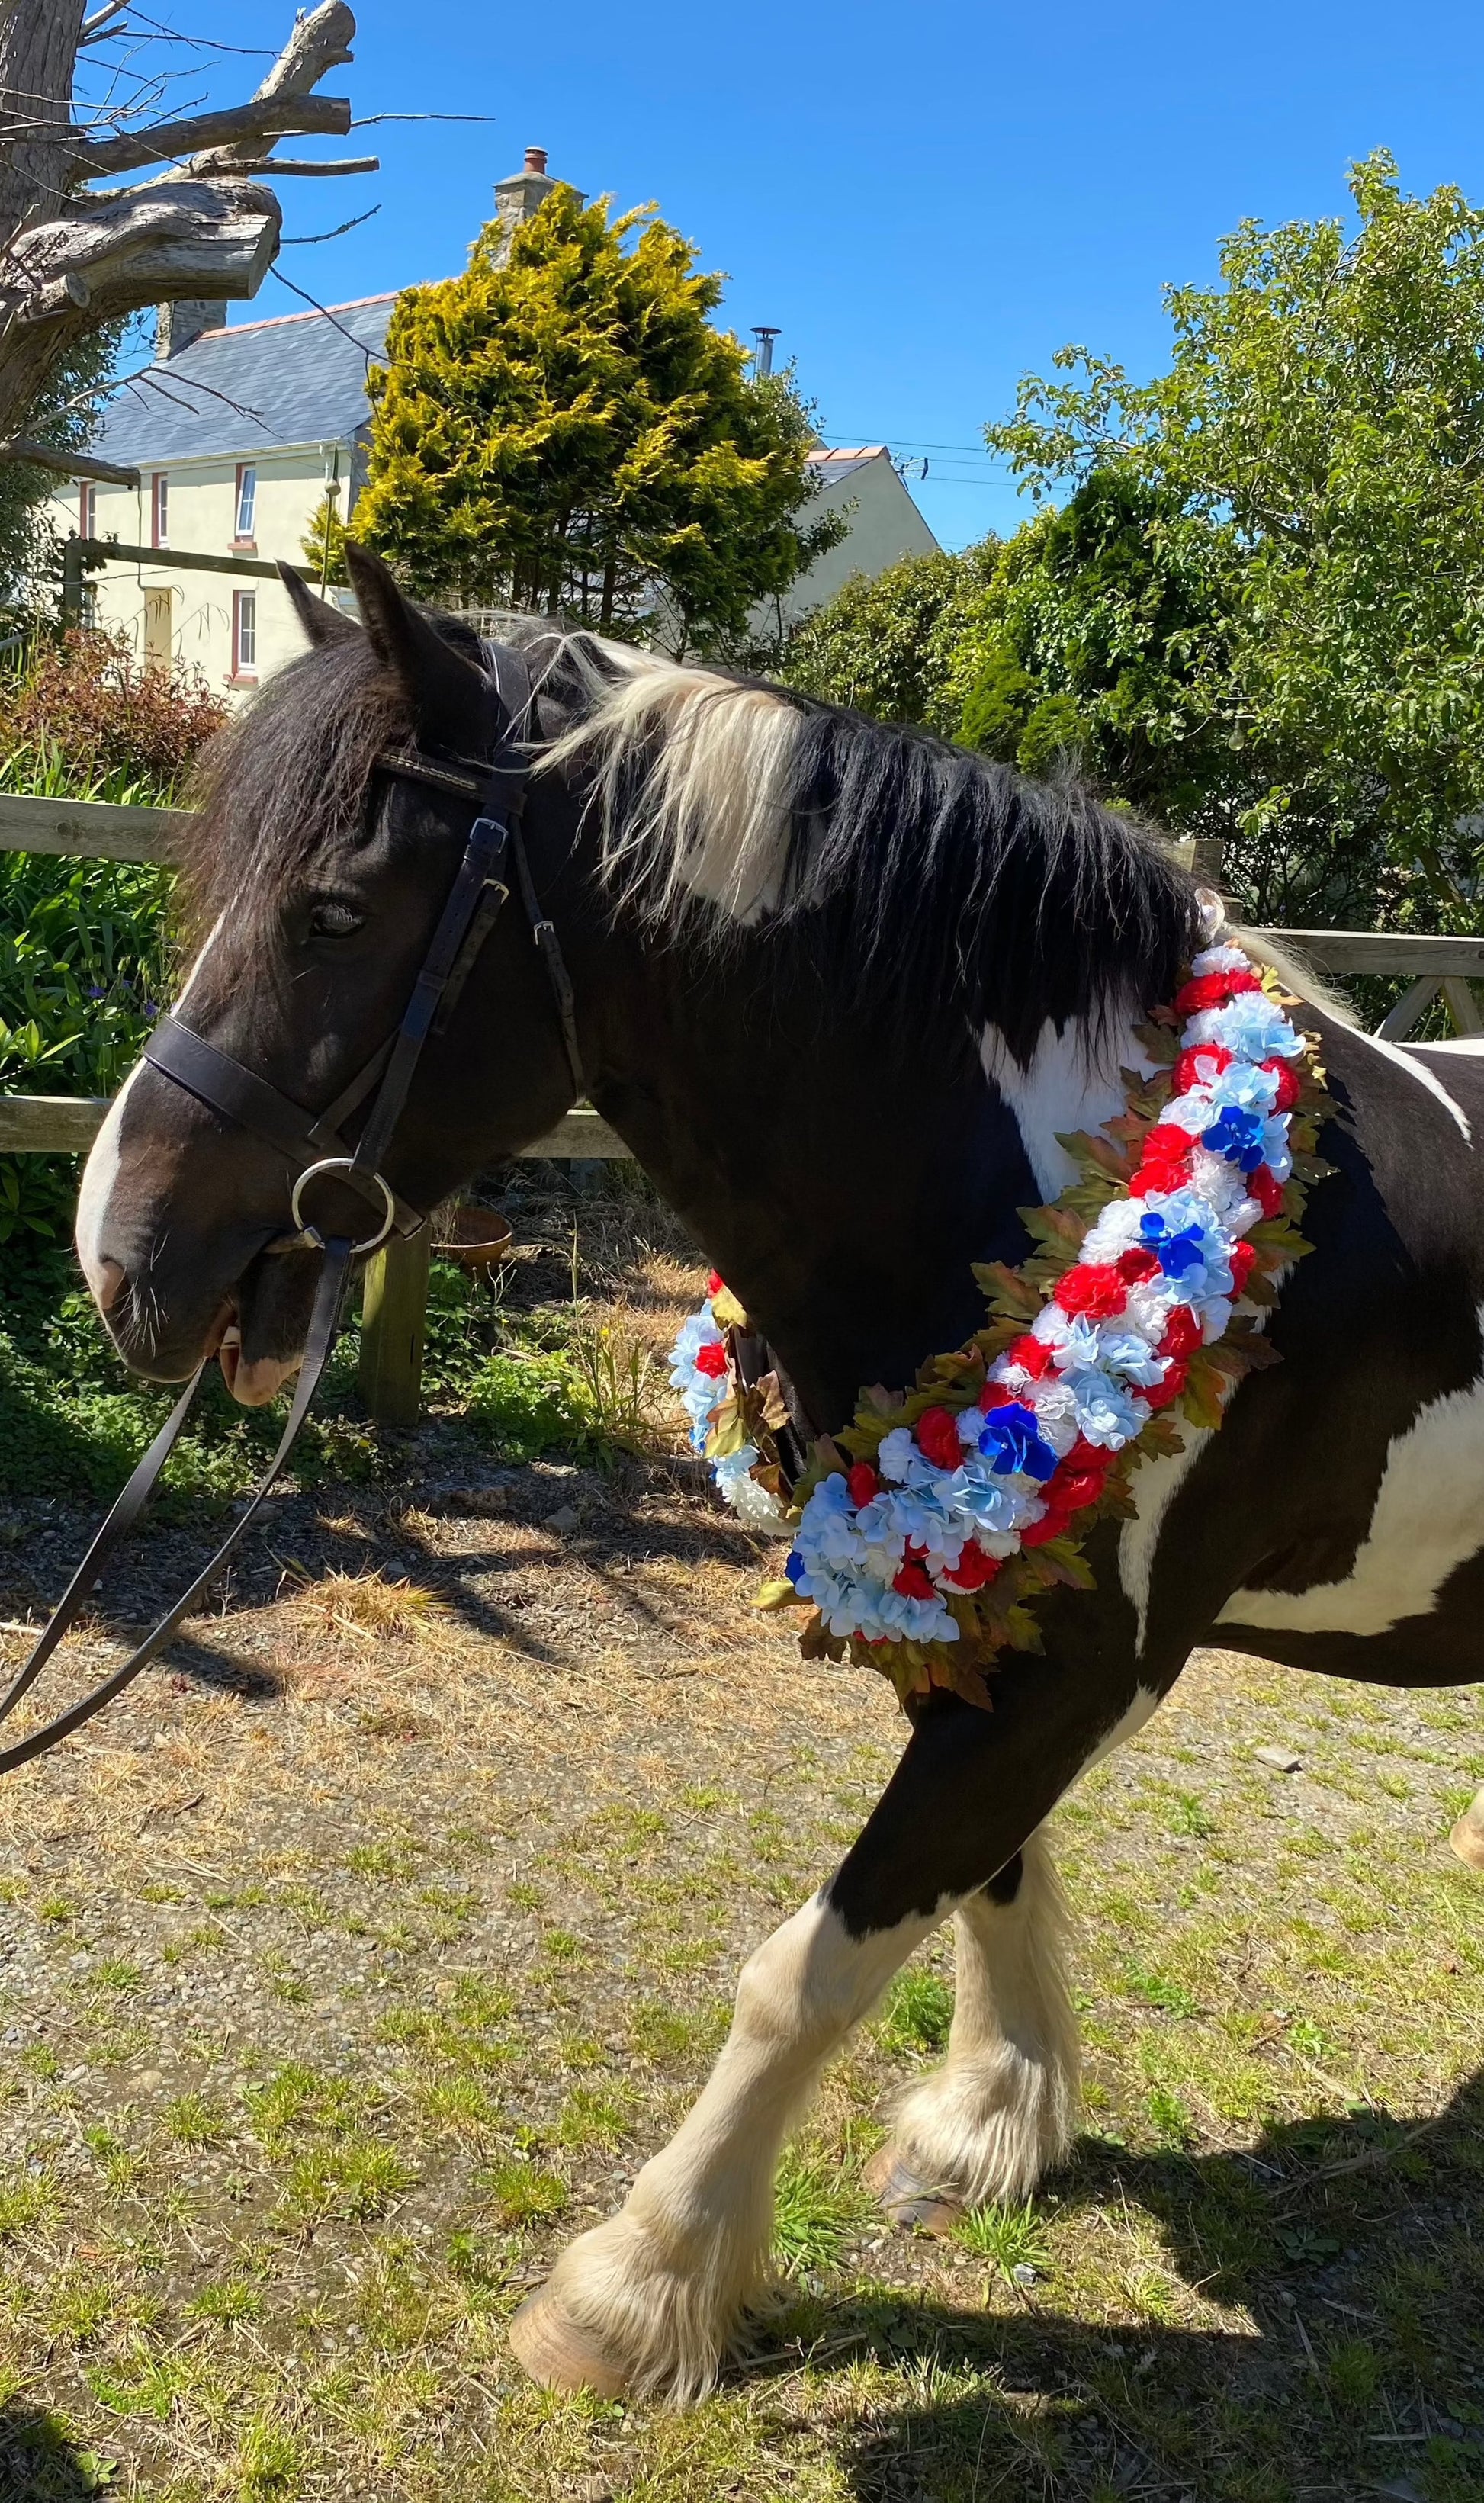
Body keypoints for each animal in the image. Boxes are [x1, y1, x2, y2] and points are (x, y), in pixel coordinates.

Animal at [72, 548, 1481, 2402]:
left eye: (332, 912)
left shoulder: (1081, 1672)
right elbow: (984, 1885)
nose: (116, 1254)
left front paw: (639, 2286)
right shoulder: (984, 1628)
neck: (1039, 1181)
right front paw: (991, 2125)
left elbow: (810, 1970)